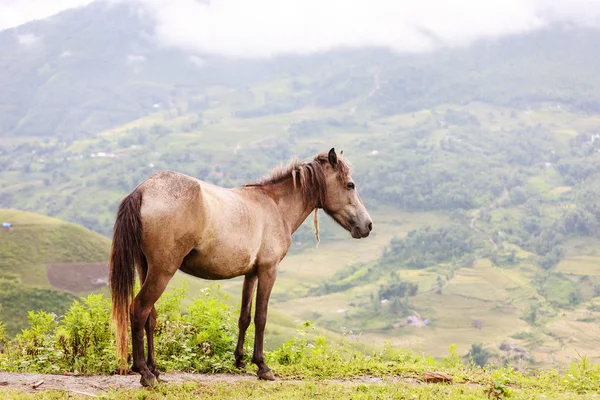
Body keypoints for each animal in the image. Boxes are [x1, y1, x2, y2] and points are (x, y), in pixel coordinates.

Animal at [108, 148, 370, 386]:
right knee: (139, 309)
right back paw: (145, 373)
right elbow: (261, 317)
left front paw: (240, 360)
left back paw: (156, 370)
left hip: (146, 268)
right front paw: (263, 366)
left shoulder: (251, 274)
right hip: (163, 271)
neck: (274, 205)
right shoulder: (268, 271)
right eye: (350, 185)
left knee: (150, 316)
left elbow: (245, 317)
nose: (367, 225)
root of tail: (143, 190)